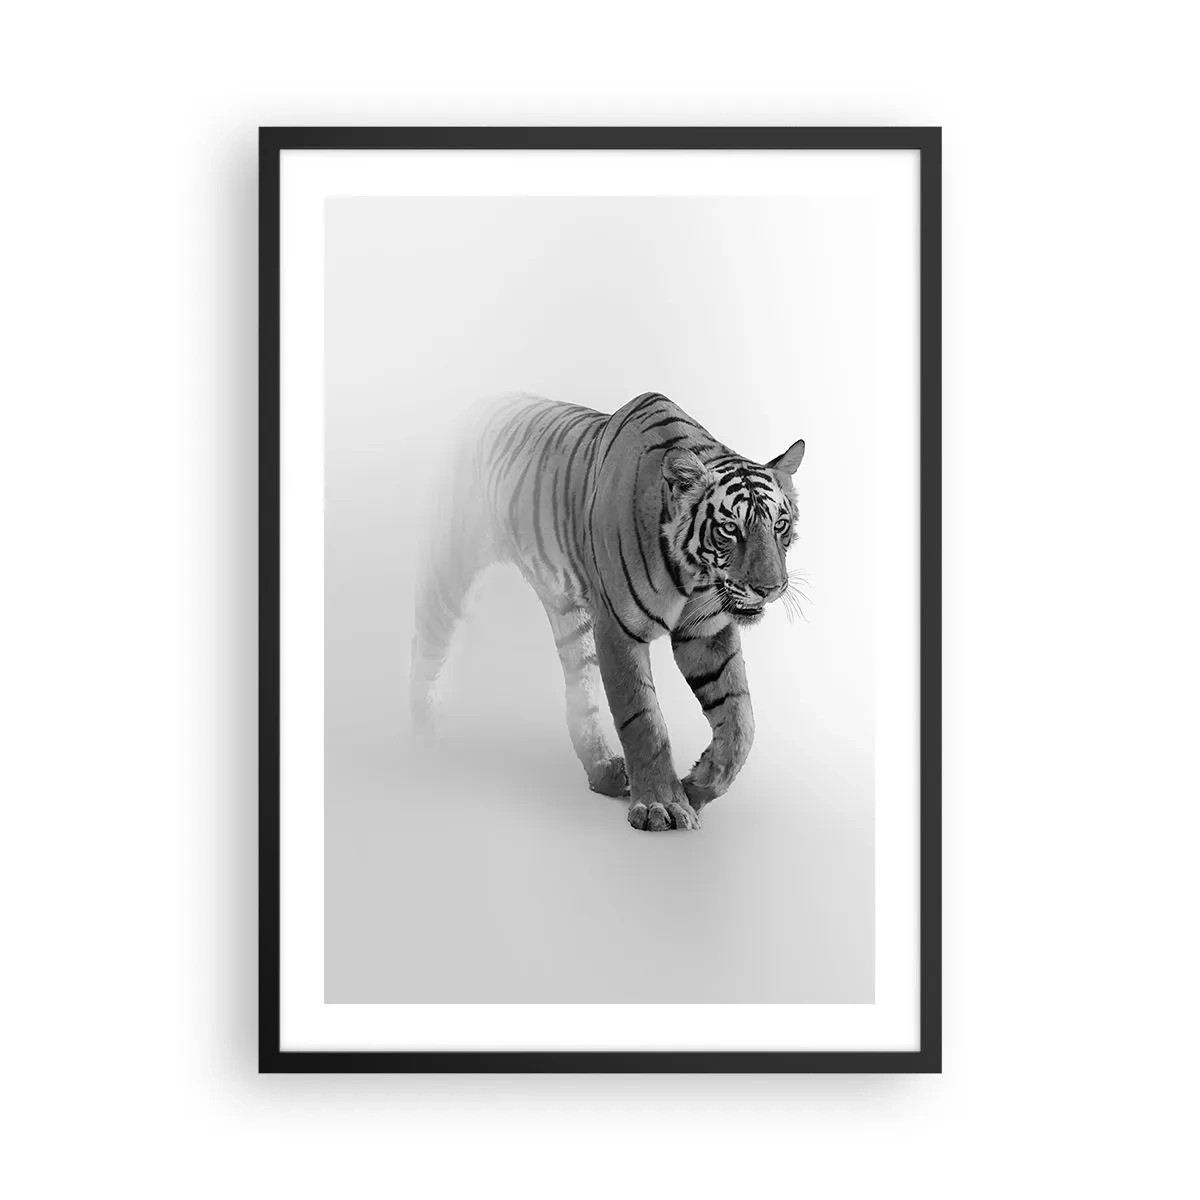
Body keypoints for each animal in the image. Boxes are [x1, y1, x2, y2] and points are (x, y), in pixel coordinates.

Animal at [410, 390, 806, 832]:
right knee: (424, 647)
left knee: (579, 694)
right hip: (450, 565)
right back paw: (422, 739)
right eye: (730, 529)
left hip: (569, 615)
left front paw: (698, 786)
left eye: (780, 525)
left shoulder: (705, 632)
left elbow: (740, 720)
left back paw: (603, 771)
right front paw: (662, 805)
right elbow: (644, 720)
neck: (694, 576)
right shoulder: (618, 629)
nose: (770, 589)